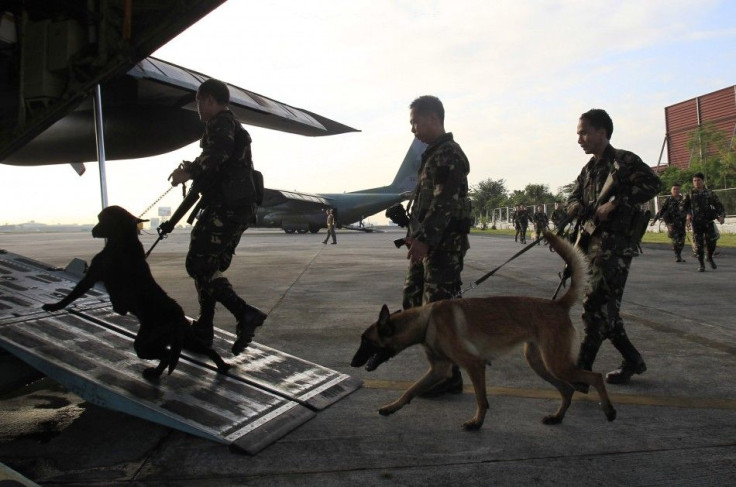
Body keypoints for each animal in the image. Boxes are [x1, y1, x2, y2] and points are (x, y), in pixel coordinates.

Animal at [43, 206, 230, 382]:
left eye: (101, 219)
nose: (93, 230)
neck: (124, 240)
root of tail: (177, 313)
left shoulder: (91, 276)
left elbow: (72, 295)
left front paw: (53, 306)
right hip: (187, 339)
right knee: (207, 350)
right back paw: (221, 365)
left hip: (146, 341)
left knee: (165, 355)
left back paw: (154, 372)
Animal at [350, 229, 616, 430]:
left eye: (366, 341)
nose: (352, 363)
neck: (426, 320)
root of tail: (557, 304)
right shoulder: (438, 369)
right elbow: (410, 390)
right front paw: (391, 407)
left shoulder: (474, 365)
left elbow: (481, 399)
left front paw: (477, 422)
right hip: (540, 363)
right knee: (567, 389)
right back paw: (557, 417)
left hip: (556, 363)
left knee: (594, 376)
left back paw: (609, 410)